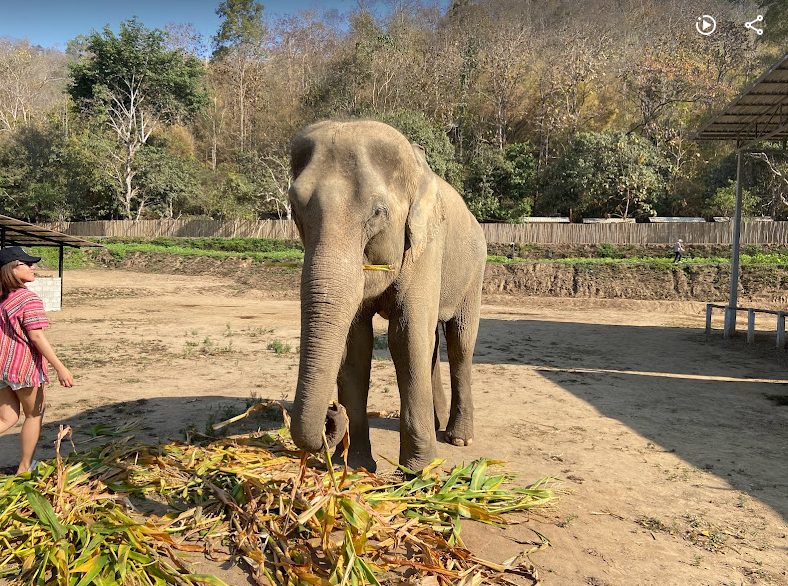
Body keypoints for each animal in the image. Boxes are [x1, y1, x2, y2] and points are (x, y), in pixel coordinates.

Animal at [288, 118, 486, 470]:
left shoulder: (426, 246)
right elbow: (356, 344)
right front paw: (356, 466)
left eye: (378, 212)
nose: (332, 413)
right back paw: (437, 425)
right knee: (432, 343)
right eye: (294, 208)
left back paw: (459, 438)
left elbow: (405, 336)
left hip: (474, 271)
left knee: (460, 342)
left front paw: (418, 470)